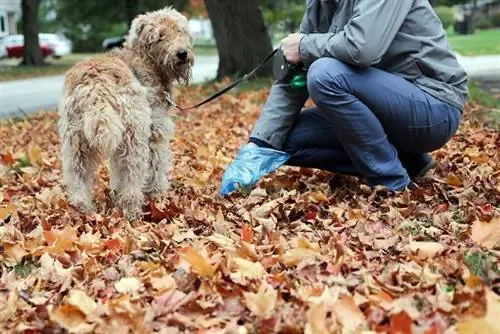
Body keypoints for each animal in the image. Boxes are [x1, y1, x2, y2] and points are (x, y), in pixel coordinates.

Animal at [56, 6, 193, 220]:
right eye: (160, 36)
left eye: (180, 30)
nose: (182, 54)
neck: (145, 61)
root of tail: (95, 85)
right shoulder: (155, 134)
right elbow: (156, 167)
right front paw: (158, 195)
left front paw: (115, 192)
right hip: (133, 139)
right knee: (131, 178)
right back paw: (133, 211)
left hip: (76, 143)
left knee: (78, 178)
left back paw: (83, 211)